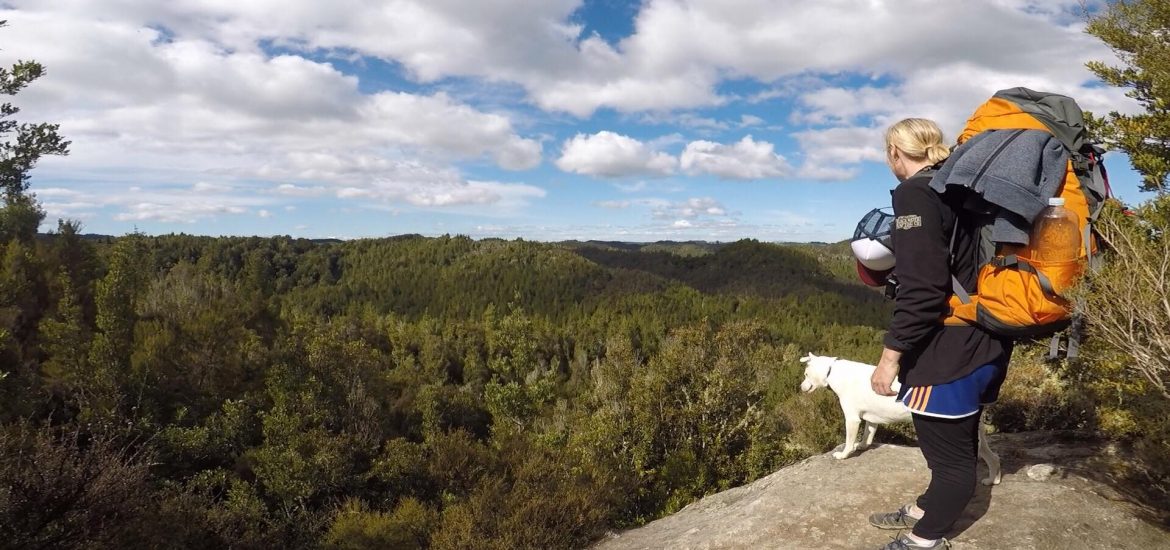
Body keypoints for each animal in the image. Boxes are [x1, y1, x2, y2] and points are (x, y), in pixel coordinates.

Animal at [800, 353, 1001, 484]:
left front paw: (843, 455)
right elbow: (868, 435)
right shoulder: (871, 419)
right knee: (993, 457)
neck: (831, 371)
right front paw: (862, 446)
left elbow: (849, 442)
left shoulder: (852, 419)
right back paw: (993, 480)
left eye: (805, 374)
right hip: (979, 435)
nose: (801, 387)